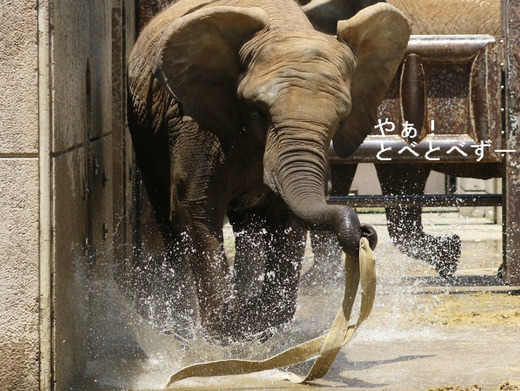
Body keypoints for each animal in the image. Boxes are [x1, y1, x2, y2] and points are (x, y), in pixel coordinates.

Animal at [127, 0, 410, 344]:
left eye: (340, 120)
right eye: (258, 111)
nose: (364, 231)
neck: (284, 27)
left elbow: (289, 217)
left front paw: (256, 324)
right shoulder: (194, 124)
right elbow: (196, 208)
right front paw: (226, 338)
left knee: (246, 227)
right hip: (145, 130)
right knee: (165, 213)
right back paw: (181, 326)